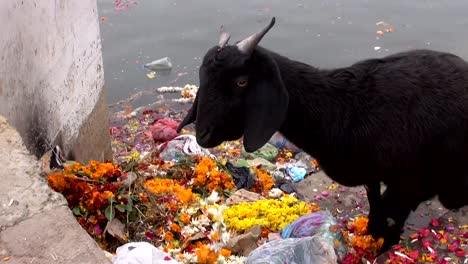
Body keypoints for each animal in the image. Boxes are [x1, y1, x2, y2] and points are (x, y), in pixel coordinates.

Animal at [176, 16, 468, 252]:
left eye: (241, 81)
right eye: (203, 79)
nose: (203, 135)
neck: (342, 109)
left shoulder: (408, 180)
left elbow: (392, 214)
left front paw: (383, 245)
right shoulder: (373, 175)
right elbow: (375, 204)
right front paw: (372, 236)